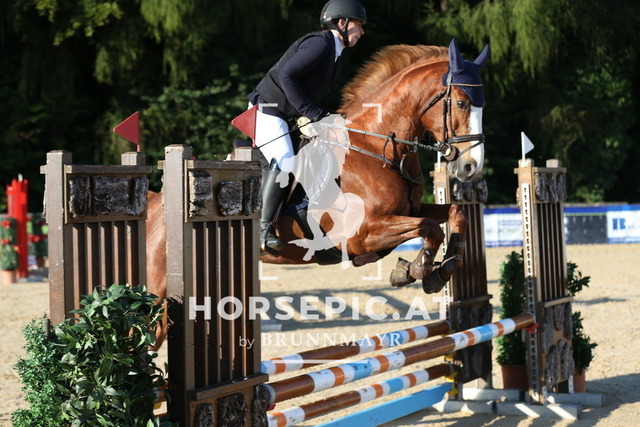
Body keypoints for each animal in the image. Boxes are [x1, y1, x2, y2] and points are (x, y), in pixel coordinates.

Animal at [146, 39, 489, 349]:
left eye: (483, 105)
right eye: (462, 103)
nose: (471, 167)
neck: (377, 146)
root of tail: (155, 205)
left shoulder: (409, 211)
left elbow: (454, 215)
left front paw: (441, 269)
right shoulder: (361, 234)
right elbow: (430, 228)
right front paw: (415, 270)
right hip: (159, 291)